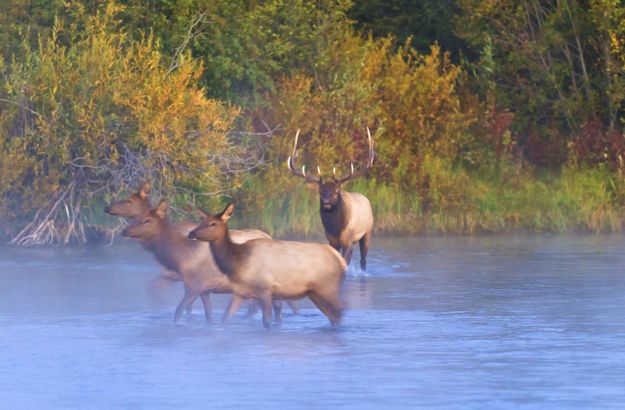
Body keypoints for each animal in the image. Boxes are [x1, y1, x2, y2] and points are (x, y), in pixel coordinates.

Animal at [190, 203, 346, 328]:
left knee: (338, 314)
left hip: (328, 288)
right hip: (314, 292)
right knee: (334, 317)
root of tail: (341, 260)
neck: (237, 262)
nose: (191, 233)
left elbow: (267, 322)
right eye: (203, 221)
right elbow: (225, 318)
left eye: (213, 223)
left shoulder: (265, 289)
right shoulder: (240, 292)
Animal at [288, 126, 376, 270]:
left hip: (367, 232)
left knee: (363, 259)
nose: (327, 202)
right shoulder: (331, 241)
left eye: (335, 192)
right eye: (320, 192)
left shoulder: (348, 241)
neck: (336, 229)